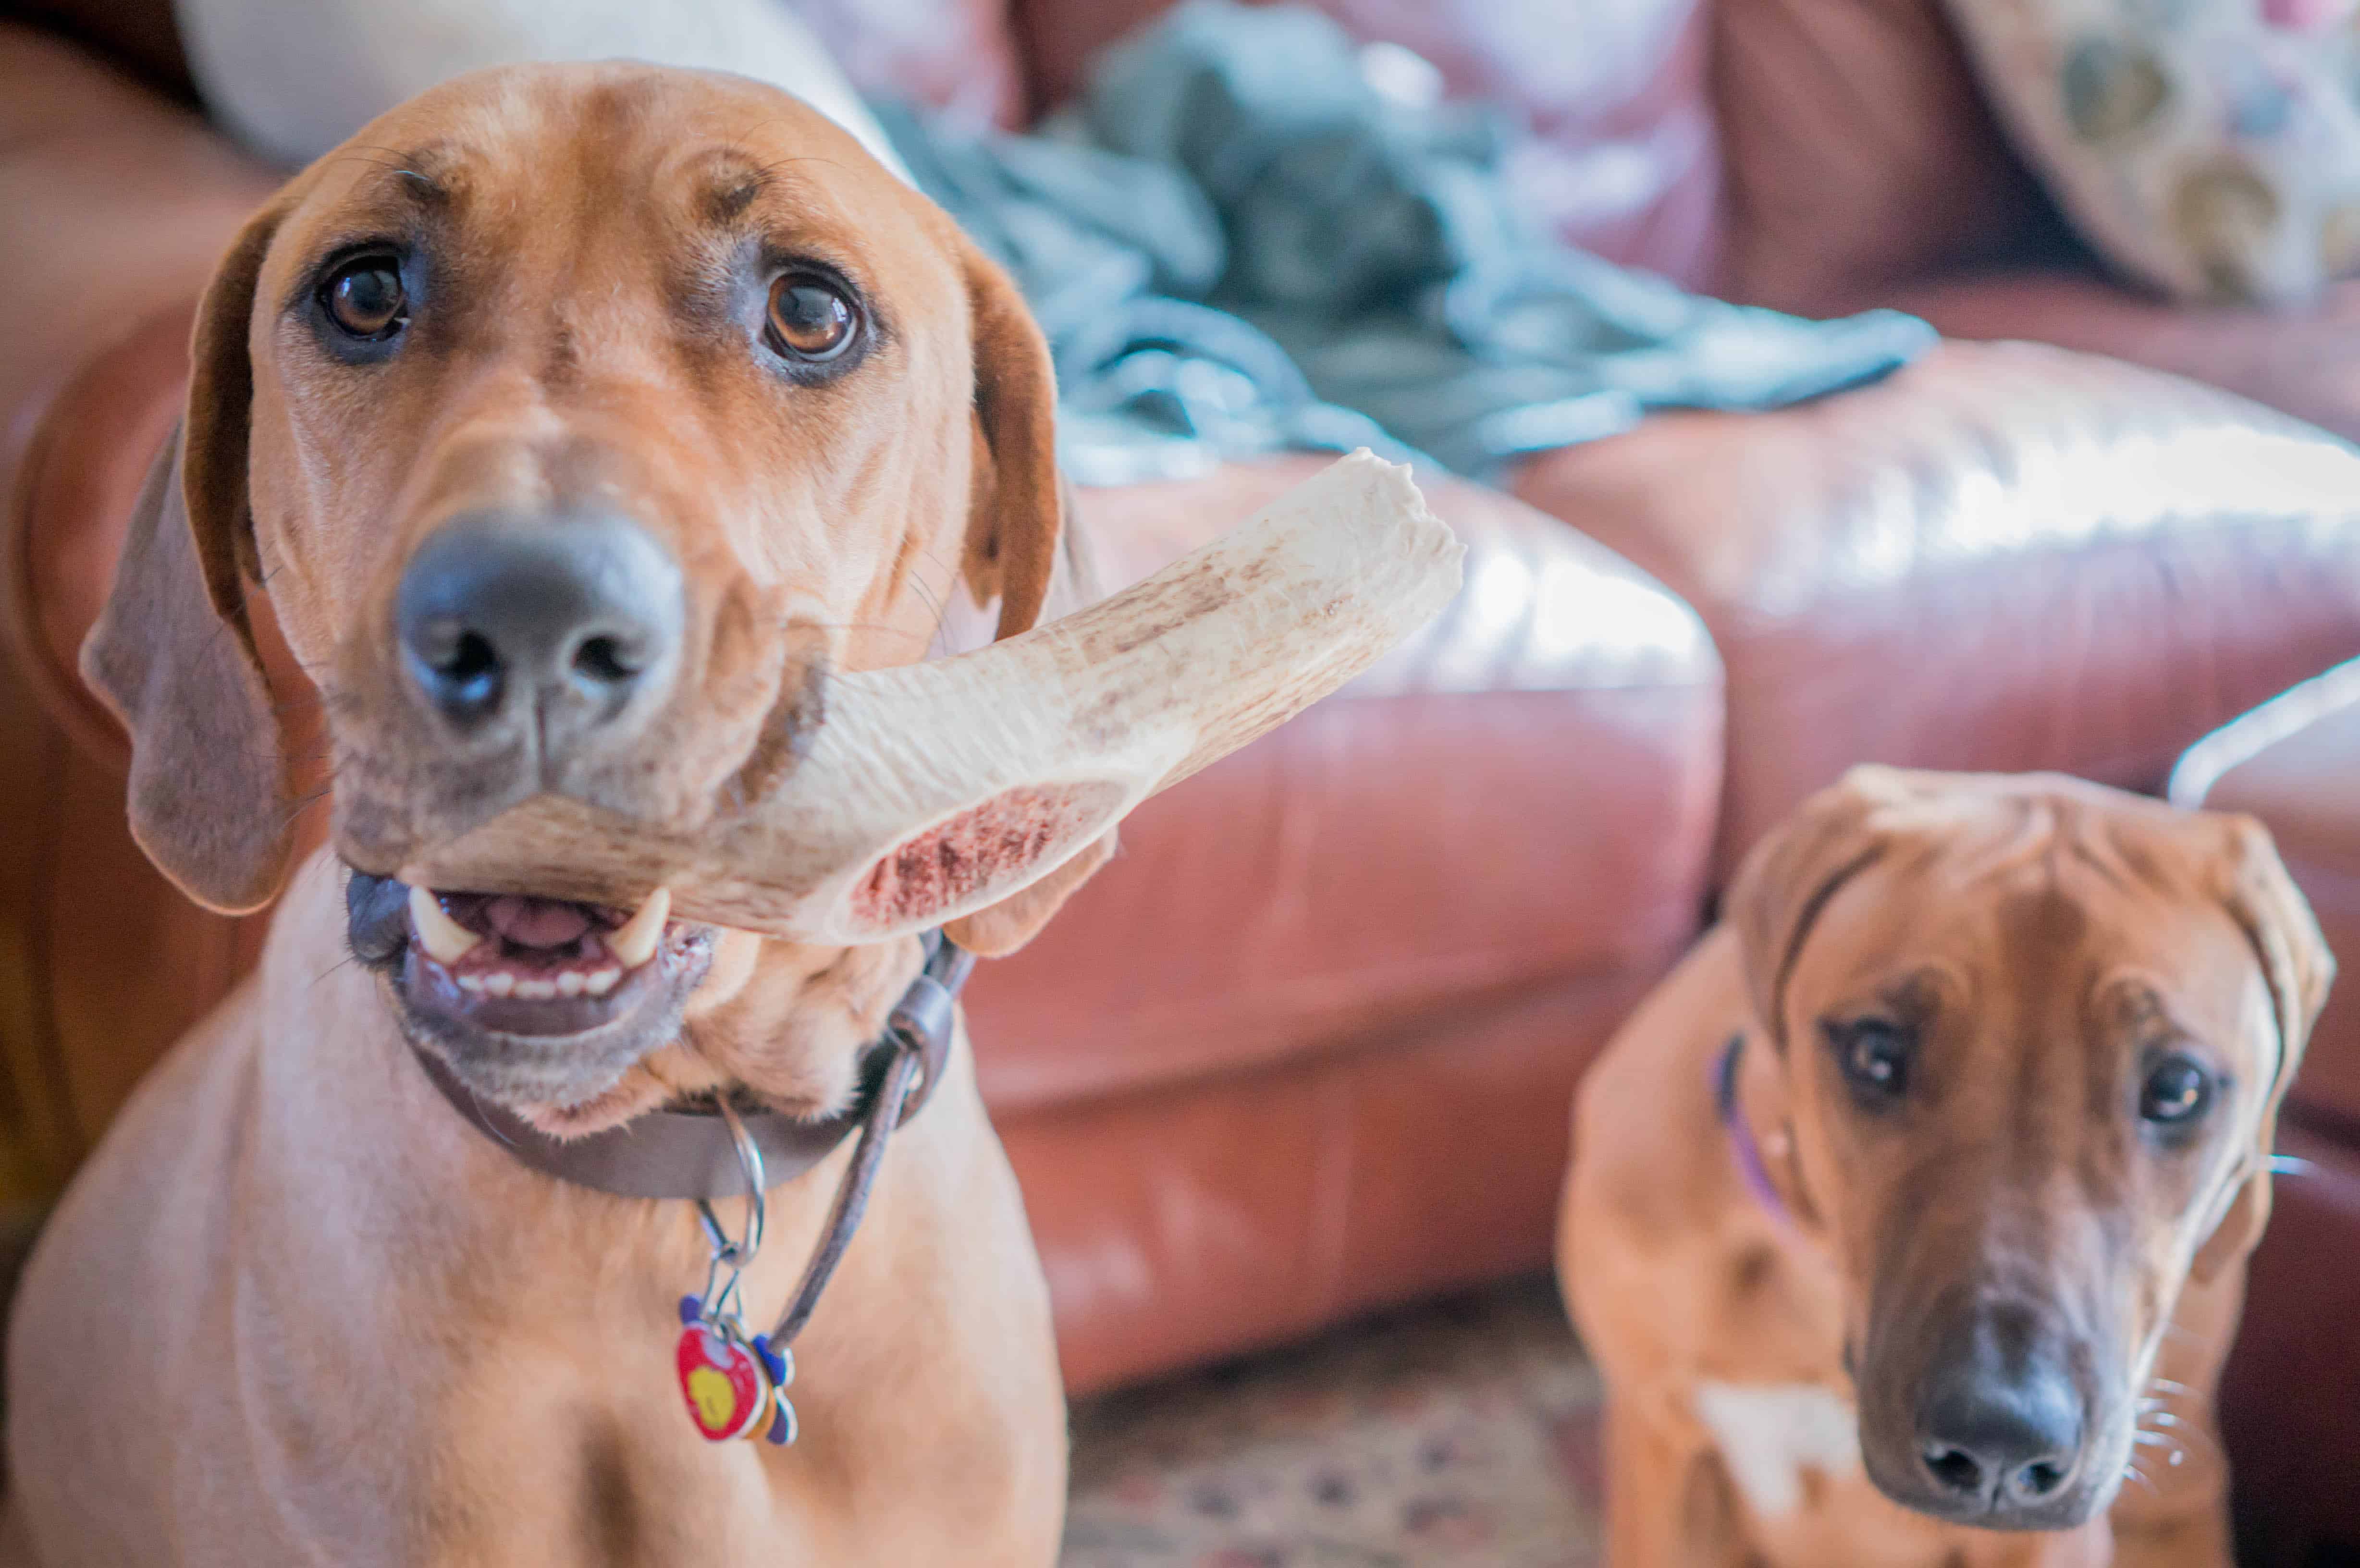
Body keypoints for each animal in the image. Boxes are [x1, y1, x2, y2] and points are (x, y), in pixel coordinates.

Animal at [1567, 770, 2322, 1568]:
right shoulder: (1660, 1453)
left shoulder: (2047, 1541)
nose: (2001, 1441)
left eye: (2177, 1088)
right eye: (1875, 1053)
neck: (1817, 1295)